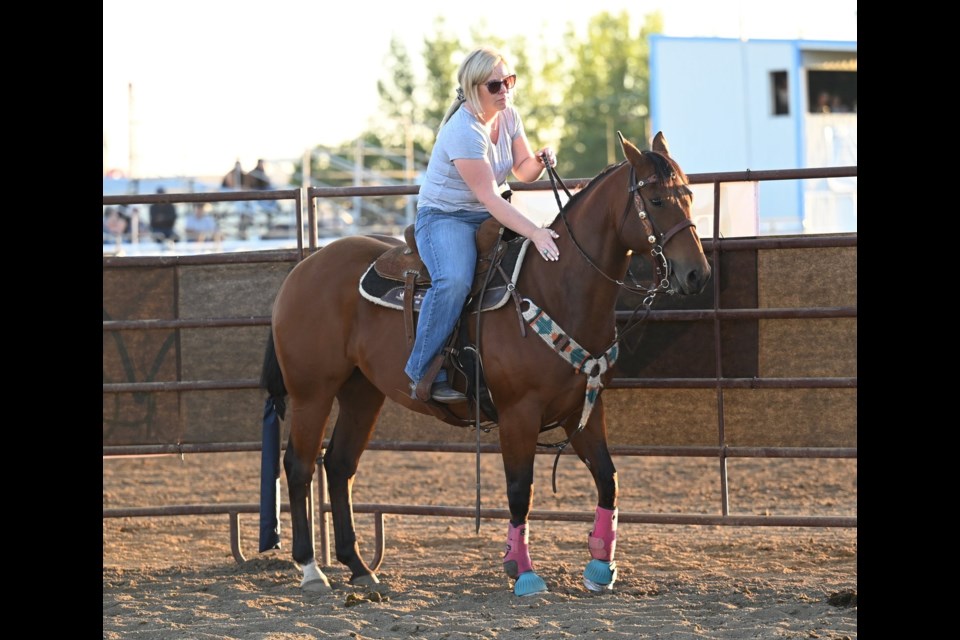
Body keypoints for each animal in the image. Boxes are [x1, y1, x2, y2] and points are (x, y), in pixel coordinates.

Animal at [258, 130, 708, 596]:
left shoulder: (584, 409)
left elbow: (608, 479)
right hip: (312, 392)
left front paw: (601, 567)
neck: (556, 287)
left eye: (689, 195)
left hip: (361, 392)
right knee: (299, 466)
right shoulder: (518, 413)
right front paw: (522, 571)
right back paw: (312, 569)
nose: (697, 274)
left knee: (339, 465)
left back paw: (360, 567)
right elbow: (520, 490)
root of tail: (304, 268)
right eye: (656, 200)